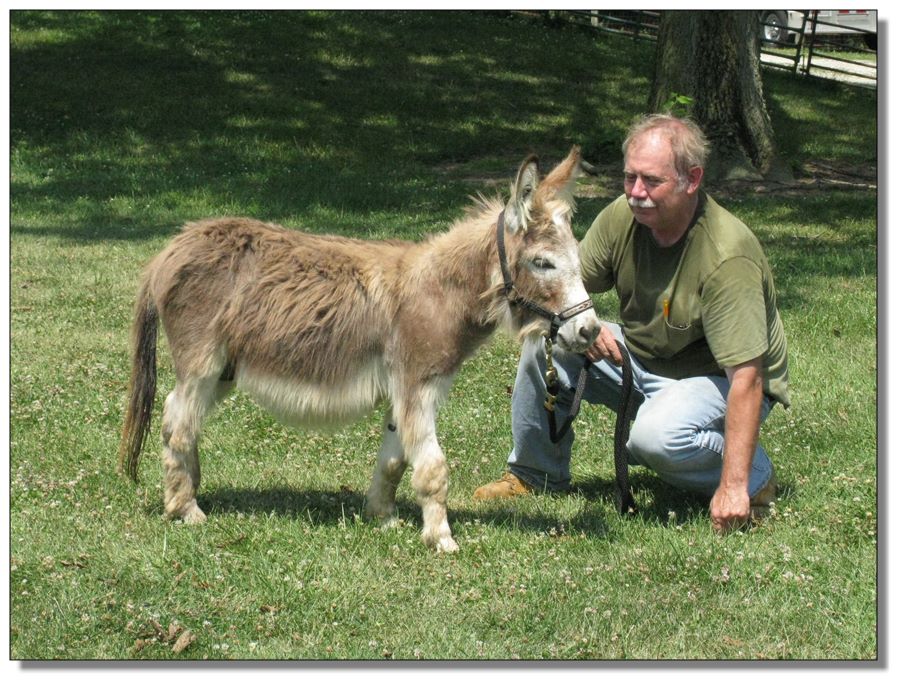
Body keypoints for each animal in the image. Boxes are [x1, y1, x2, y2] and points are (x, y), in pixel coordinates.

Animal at [118, 147, 601, 552]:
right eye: (543, 263)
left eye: (577, 258)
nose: (591, 332)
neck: (439, 293)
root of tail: (174, 245)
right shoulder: (416, 384)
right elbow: (432, 468)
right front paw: (442, 539)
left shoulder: (404, 391)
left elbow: (394, 461)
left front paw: (382, 517)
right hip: (202, 361)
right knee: (177, 422)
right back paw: (186, 509)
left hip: (223, 370)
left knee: (181, 416)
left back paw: (187, 490)